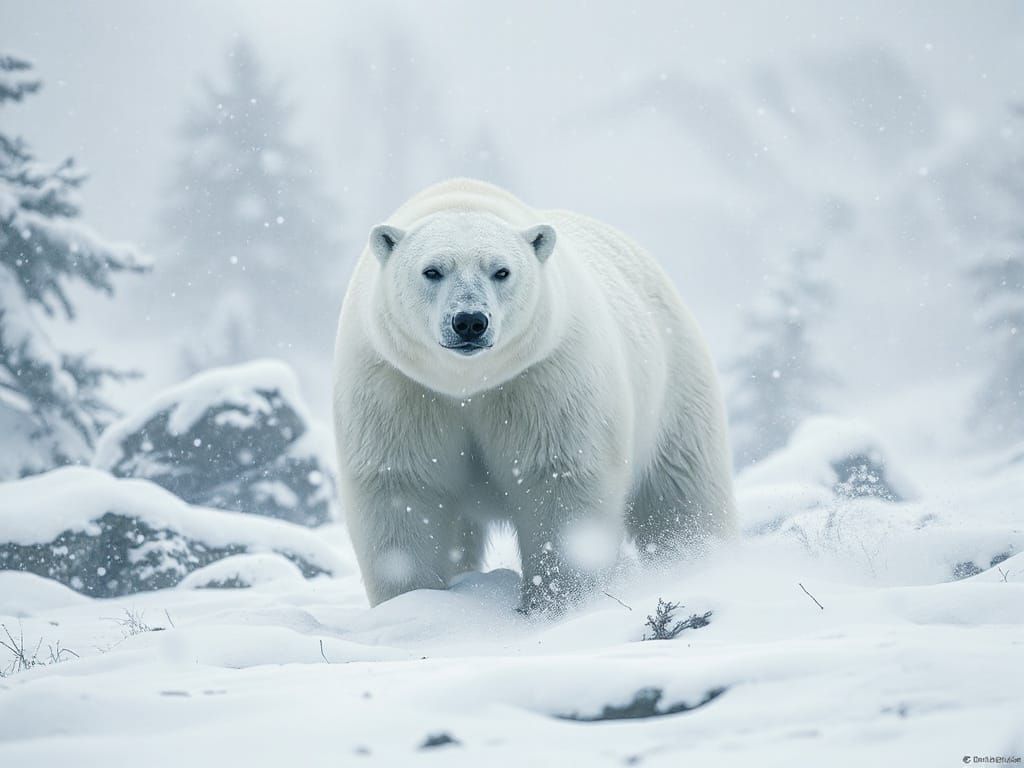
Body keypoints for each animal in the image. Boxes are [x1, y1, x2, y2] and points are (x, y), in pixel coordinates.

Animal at [333, 178, 736, 611]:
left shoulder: (544, 378)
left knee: (682, 494)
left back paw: (695, 560)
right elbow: (401, 488)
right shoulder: (398, 387)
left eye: (501, 271)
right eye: (432, 270)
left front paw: (557, 603)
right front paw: (414, 601)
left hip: (674, 389)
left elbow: (557, 479)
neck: (467, 384)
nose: (469, 321)